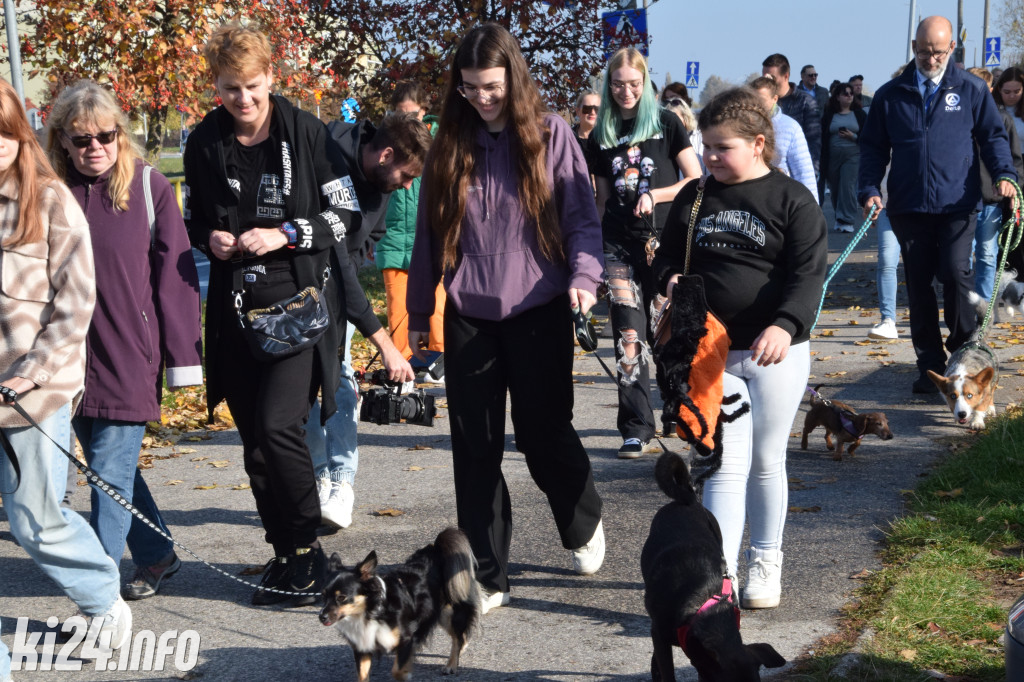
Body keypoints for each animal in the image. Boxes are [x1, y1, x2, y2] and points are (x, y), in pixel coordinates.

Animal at [319, 524, 479, 679]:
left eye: (341, 597)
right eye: (323, 595)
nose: (321, 617)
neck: (371, 612)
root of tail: (436, 550)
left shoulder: (407, 640)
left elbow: (397, 670)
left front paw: (405, 674)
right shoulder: (362, 646)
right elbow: (363, 675)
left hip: (449, 612)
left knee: (457, 637)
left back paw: (451, 665)